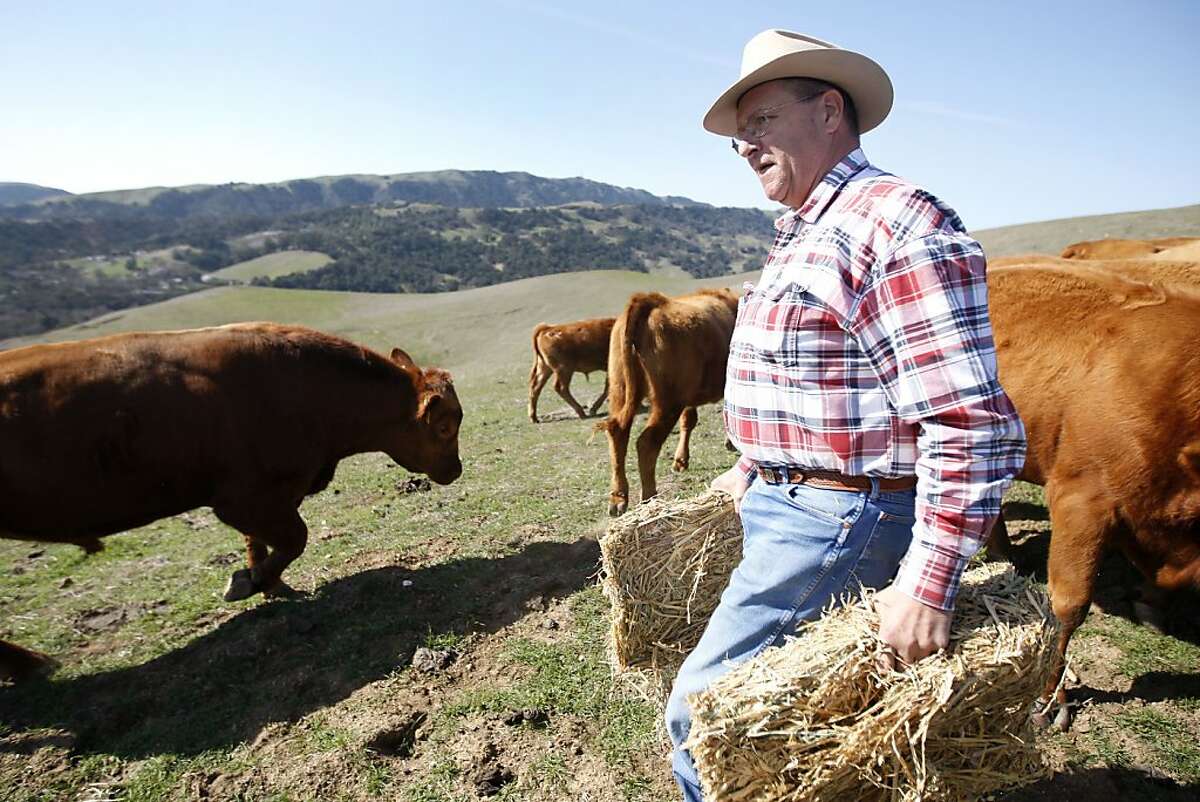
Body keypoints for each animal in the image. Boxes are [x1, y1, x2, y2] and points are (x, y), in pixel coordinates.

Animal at [0, 321, 463, 681]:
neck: (310, 388)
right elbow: (295, 538)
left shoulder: (270, 496)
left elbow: (264, 541)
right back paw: (30, 664)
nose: (455, 470)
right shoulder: (245, 499)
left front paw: (272, 585)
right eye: (443, 426)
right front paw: (251, 582)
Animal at [600, 288, 739, 513]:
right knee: (647, 443)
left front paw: (681, 460)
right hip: (668, 402)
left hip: (621, 390)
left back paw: (618, 497)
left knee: (618, 434)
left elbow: (689, 420)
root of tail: (647, 301)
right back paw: (649, 497)